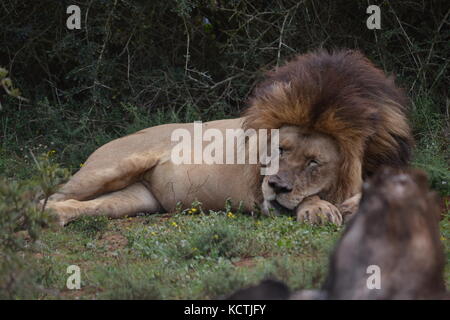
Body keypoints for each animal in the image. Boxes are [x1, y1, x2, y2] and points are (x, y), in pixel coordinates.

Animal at [44, 48, 414, 226]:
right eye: (280, 149)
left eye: (314, 162)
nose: (275, 185)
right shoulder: (260, 195)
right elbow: (305, 199)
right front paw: (320, 209)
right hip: (110, 168)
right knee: (53, 194)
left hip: (137, 199)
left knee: (85, 206)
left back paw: (54, 217)